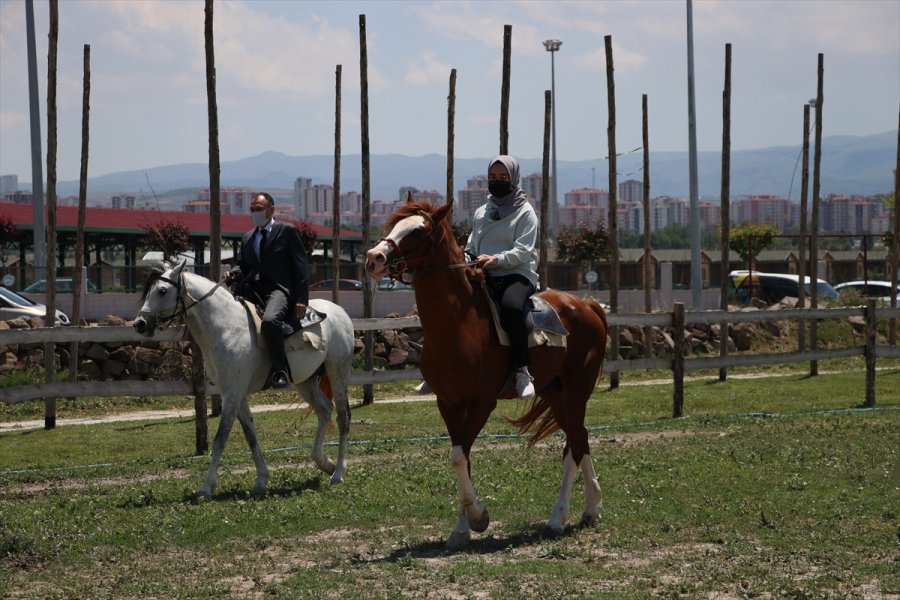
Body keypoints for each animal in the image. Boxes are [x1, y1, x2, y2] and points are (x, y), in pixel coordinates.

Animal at [134, 260, 356, 500]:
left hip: (338, 373)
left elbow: (220, 439)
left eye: (162, 290)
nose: (139, 324)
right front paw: (261, 481)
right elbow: (251, 436)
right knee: (324, 409)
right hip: (304, 381)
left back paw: (338, 473)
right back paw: (325, 463)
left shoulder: (233, 393)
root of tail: (340, 311)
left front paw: (206, 487)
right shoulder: (236, 394)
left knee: (343, 418)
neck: (226, 328)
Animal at [366, 199, 612, 552]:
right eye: (393, 225)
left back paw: (559, 516)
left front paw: (478, 517)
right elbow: (462, 457)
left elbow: (458, 456)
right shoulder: (449, 403)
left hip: (578, 388)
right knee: (580, 438)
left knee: (574, 443)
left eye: (419, 231)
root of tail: (589, 305)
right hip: (553, 391)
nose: (374, 257)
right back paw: (590, 509)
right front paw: (462, 528)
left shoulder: (483, 402)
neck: (459, 323)